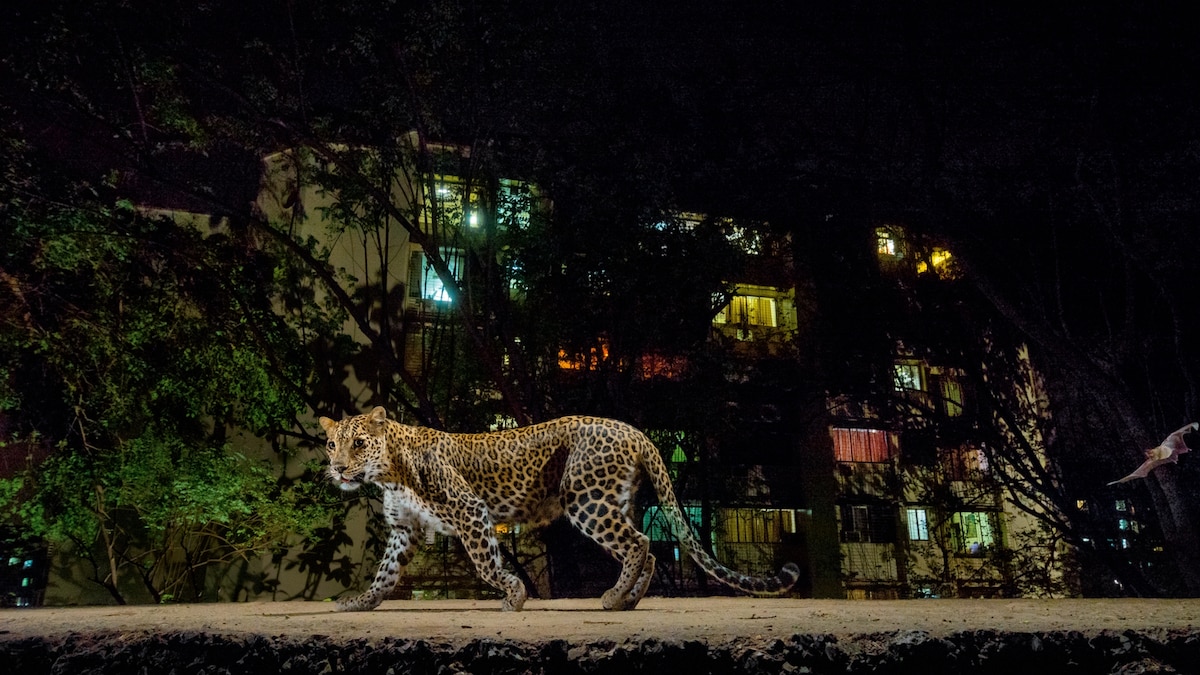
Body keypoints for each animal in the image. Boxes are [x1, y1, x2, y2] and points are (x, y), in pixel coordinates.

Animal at [319, 403, 796, 610]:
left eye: (358, 443)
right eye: (331, 444)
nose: (338, 469)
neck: (389, 473)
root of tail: (635, 431)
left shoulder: (470, 510)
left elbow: (487, 564)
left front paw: (514, 595)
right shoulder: (405, 530)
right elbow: (386, 573)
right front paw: (362, 602)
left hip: (586, 500)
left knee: (639, 543)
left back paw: (614, 597)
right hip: (614, 500)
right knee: (649, 548)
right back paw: (628, 600)